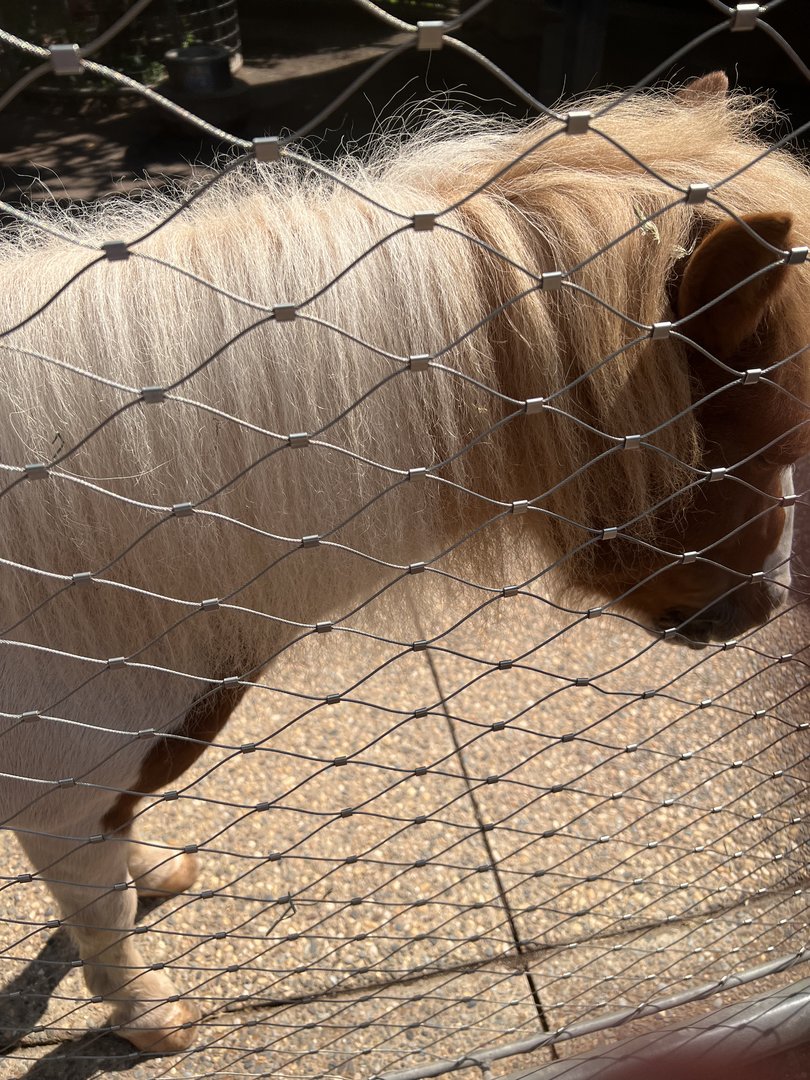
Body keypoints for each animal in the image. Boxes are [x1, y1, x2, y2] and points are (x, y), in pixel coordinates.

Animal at [0, 72, 807, 1052]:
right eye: (760, 447)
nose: (765, 606)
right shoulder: (60, 798)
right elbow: (103, 914)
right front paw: (148, 1016)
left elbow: (119, 860)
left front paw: (156, 874)